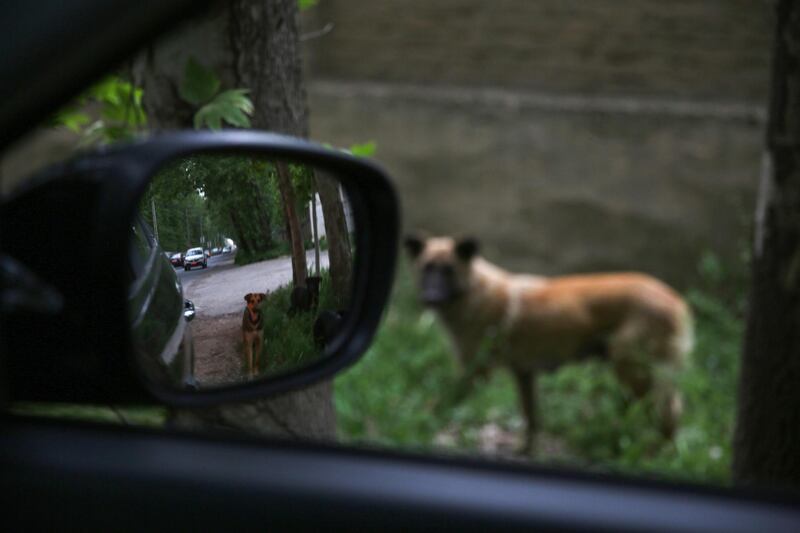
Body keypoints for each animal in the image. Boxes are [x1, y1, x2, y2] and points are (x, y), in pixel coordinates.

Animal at [406, 235, 692, 450]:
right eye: (426, 268)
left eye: (448, 270)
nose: (430, 297)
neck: (475, 292)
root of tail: (678, 304)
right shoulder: (523, 373)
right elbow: (532, 422)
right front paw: (525, 452)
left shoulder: (475, 372)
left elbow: (441, 403)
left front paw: (420, 421)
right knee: (667, 411)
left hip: (632, 372)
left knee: (663, 413)